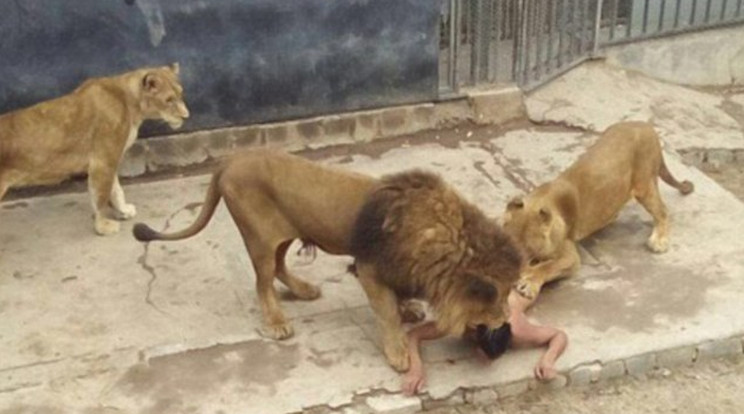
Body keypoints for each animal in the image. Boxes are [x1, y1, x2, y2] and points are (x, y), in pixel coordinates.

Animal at [0, 63, 189, 234]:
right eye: (169, 100)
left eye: (181, 94)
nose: (186, 116)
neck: (131, 102)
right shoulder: (103, 160)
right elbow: (101, 196)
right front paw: (103, 226)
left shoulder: (111, 157)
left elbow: (116, 190)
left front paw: (123, 211)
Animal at [350, 170, 524, 370]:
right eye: (500, 296)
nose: (508, 317)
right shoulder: (369, 267)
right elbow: (388, 312)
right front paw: (398, 353)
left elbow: (397, 297)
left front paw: (409, 310)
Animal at [502, 121, 696, 300]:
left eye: (529, 248)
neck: (538, 201)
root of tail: (646, 125)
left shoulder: (570, 256)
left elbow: (547, 266)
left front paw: (529, 283)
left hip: (644, 184)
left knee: (663, 211)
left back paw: (659, 240)